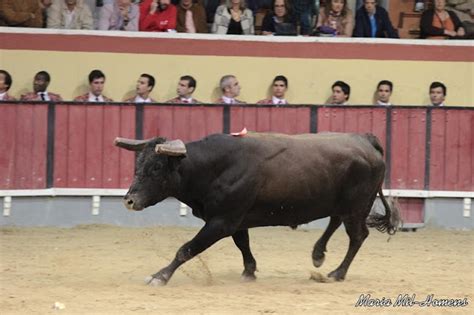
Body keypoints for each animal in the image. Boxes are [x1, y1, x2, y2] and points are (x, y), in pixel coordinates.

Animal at [115, 131, 400, 286]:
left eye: (156, 168)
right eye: (137, 164)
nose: (129, 200)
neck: (213, 167)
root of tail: (365, 140)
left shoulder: (222, 221)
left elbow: (186, 249)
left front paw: (159, 276)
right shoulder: (235, 220)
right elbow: (243, 243)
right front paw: (249, 271)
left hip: (357, 206)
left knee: (358, 235)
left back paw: (337, 272)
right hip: (341, 203)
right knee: (336, 221)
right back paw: (318, 254)